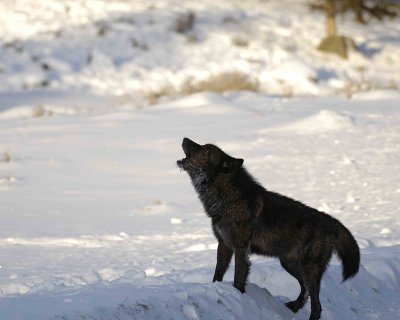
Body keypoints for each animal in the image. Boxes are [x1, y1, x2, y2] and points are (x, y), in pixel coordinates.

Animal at [177, 138, 360, 320]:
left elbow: (238, 279)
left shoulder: (241, 249)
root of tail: (329, 219)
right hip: (290, 264)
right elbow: (217, 275)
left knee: (317, 306)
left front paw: (239, 295)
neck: (229, 200)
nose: (184, 139)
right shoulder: (223, 245)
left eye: (206, 149)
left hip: (308, 269)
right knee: (305, 290)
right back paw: (293, 307)